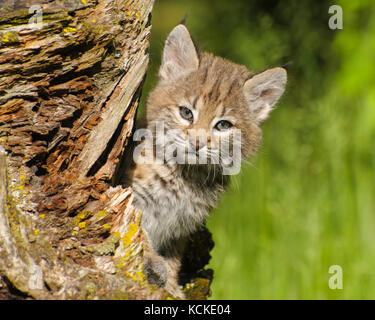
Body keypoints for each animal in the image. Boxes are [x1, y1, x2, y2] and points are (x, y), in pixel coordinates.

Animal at [122, 24, 286, 296]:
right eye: (186, 113)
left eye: (223, 125)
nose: (197, 143)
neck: (186, 174)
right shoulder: (133, 198)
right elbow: (137, 232)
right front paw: (153, 264)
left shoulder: (177, 227)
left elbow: (173, 259)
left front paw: (172, 288)